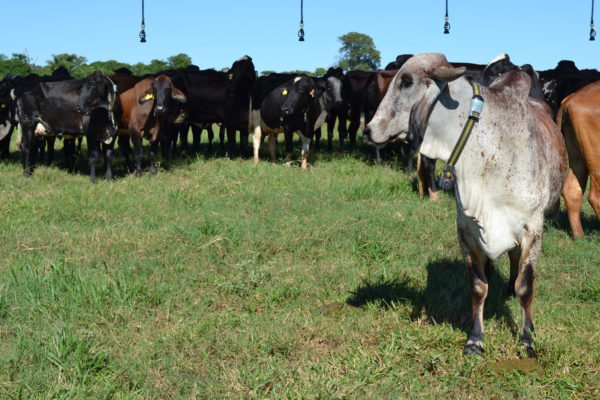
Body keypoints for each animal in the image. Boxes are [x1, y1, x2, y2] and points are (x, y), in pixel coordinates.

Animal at [366, 54, 568, 356]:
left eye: (406, 81)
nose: (368, 129)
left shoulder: (533, 228)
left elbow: (525, 286)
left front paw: (527, 337)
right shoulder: (467, 231)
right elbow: (477, 287)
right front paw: (475, 339)